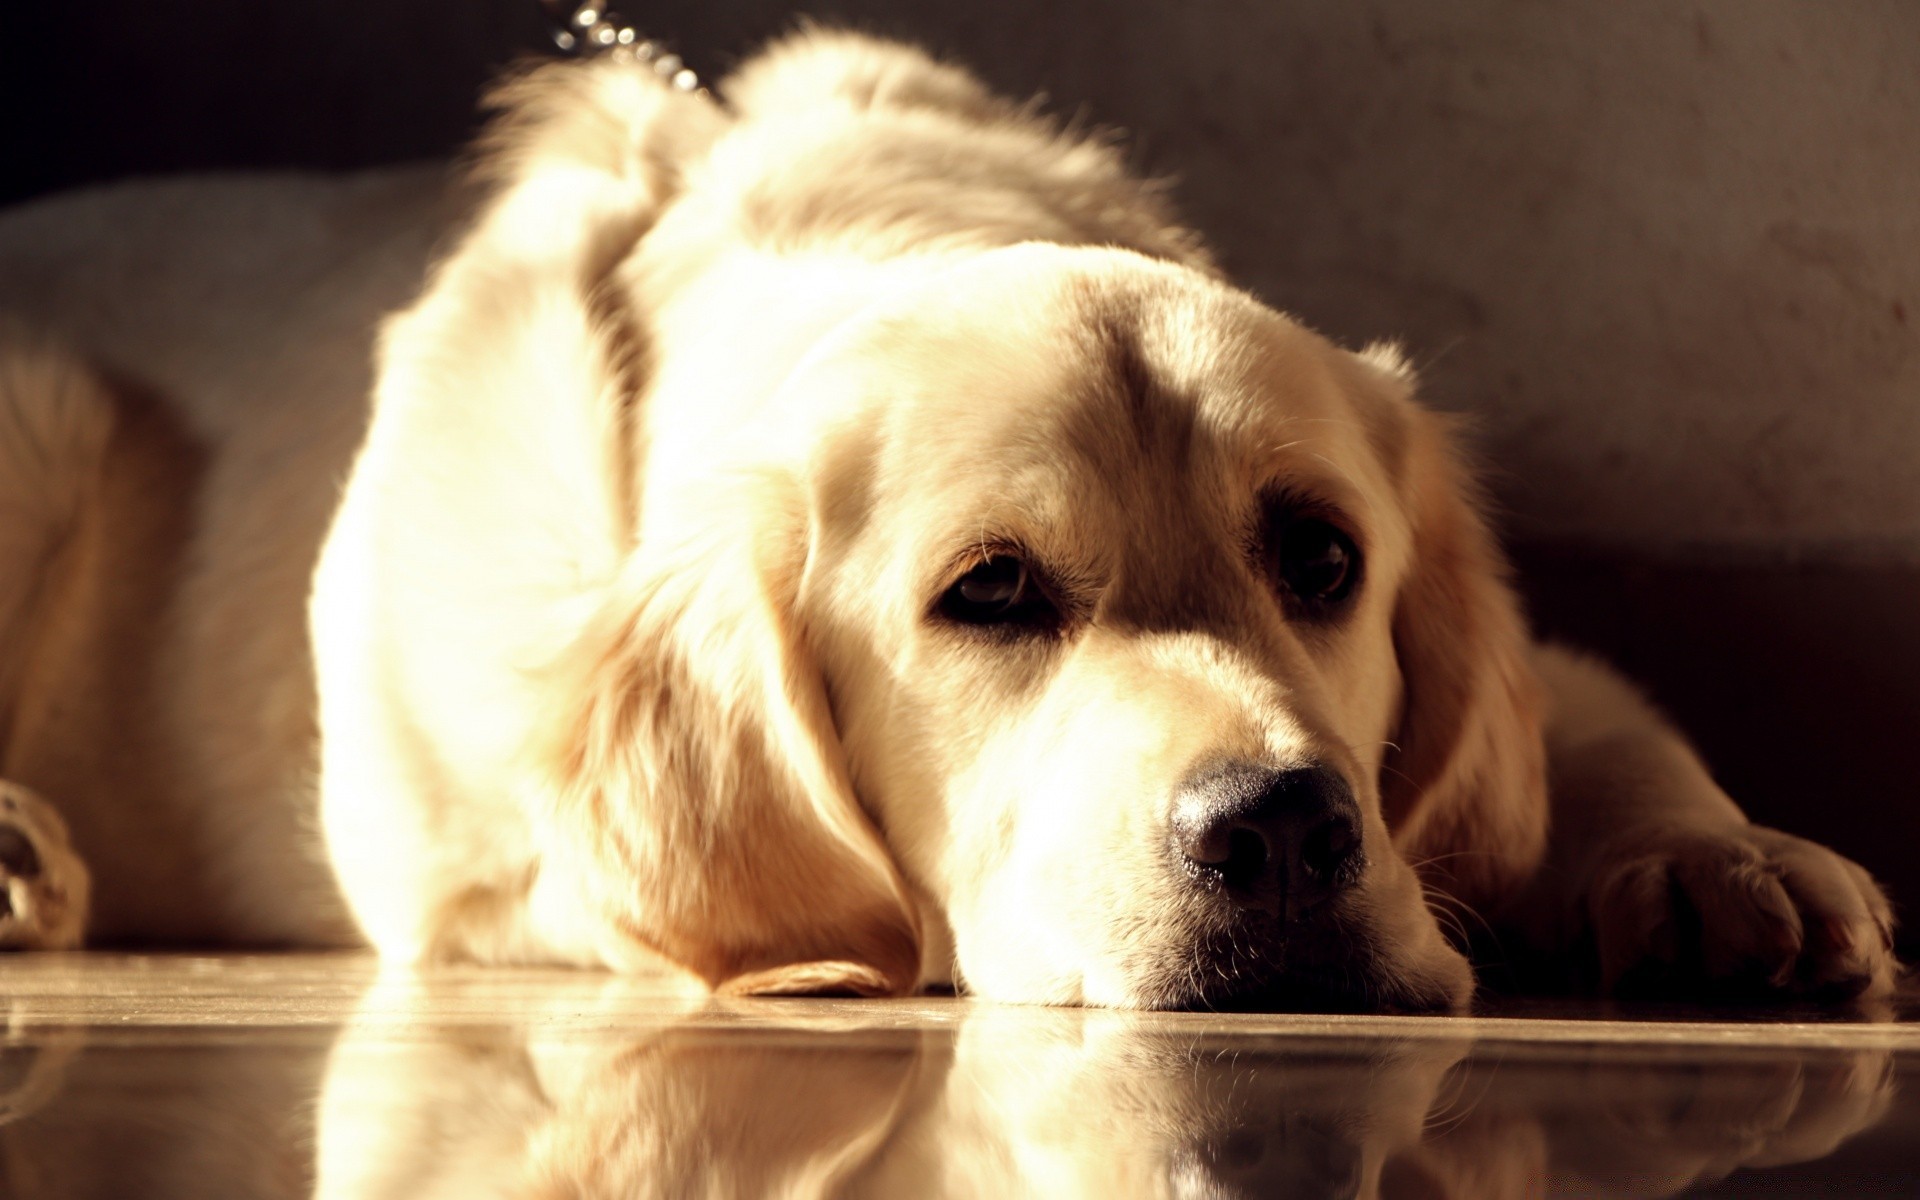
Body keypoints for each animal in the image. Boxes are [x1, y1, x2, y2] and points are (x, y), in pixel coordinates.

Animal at [0, 28, 1896, 1006]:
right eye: (989, 594)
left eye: (1321, 558)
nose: (1287, 834)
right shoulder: (461, 859)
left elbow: (1600, 729)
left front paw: (1730, 862)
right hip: (47, 404)